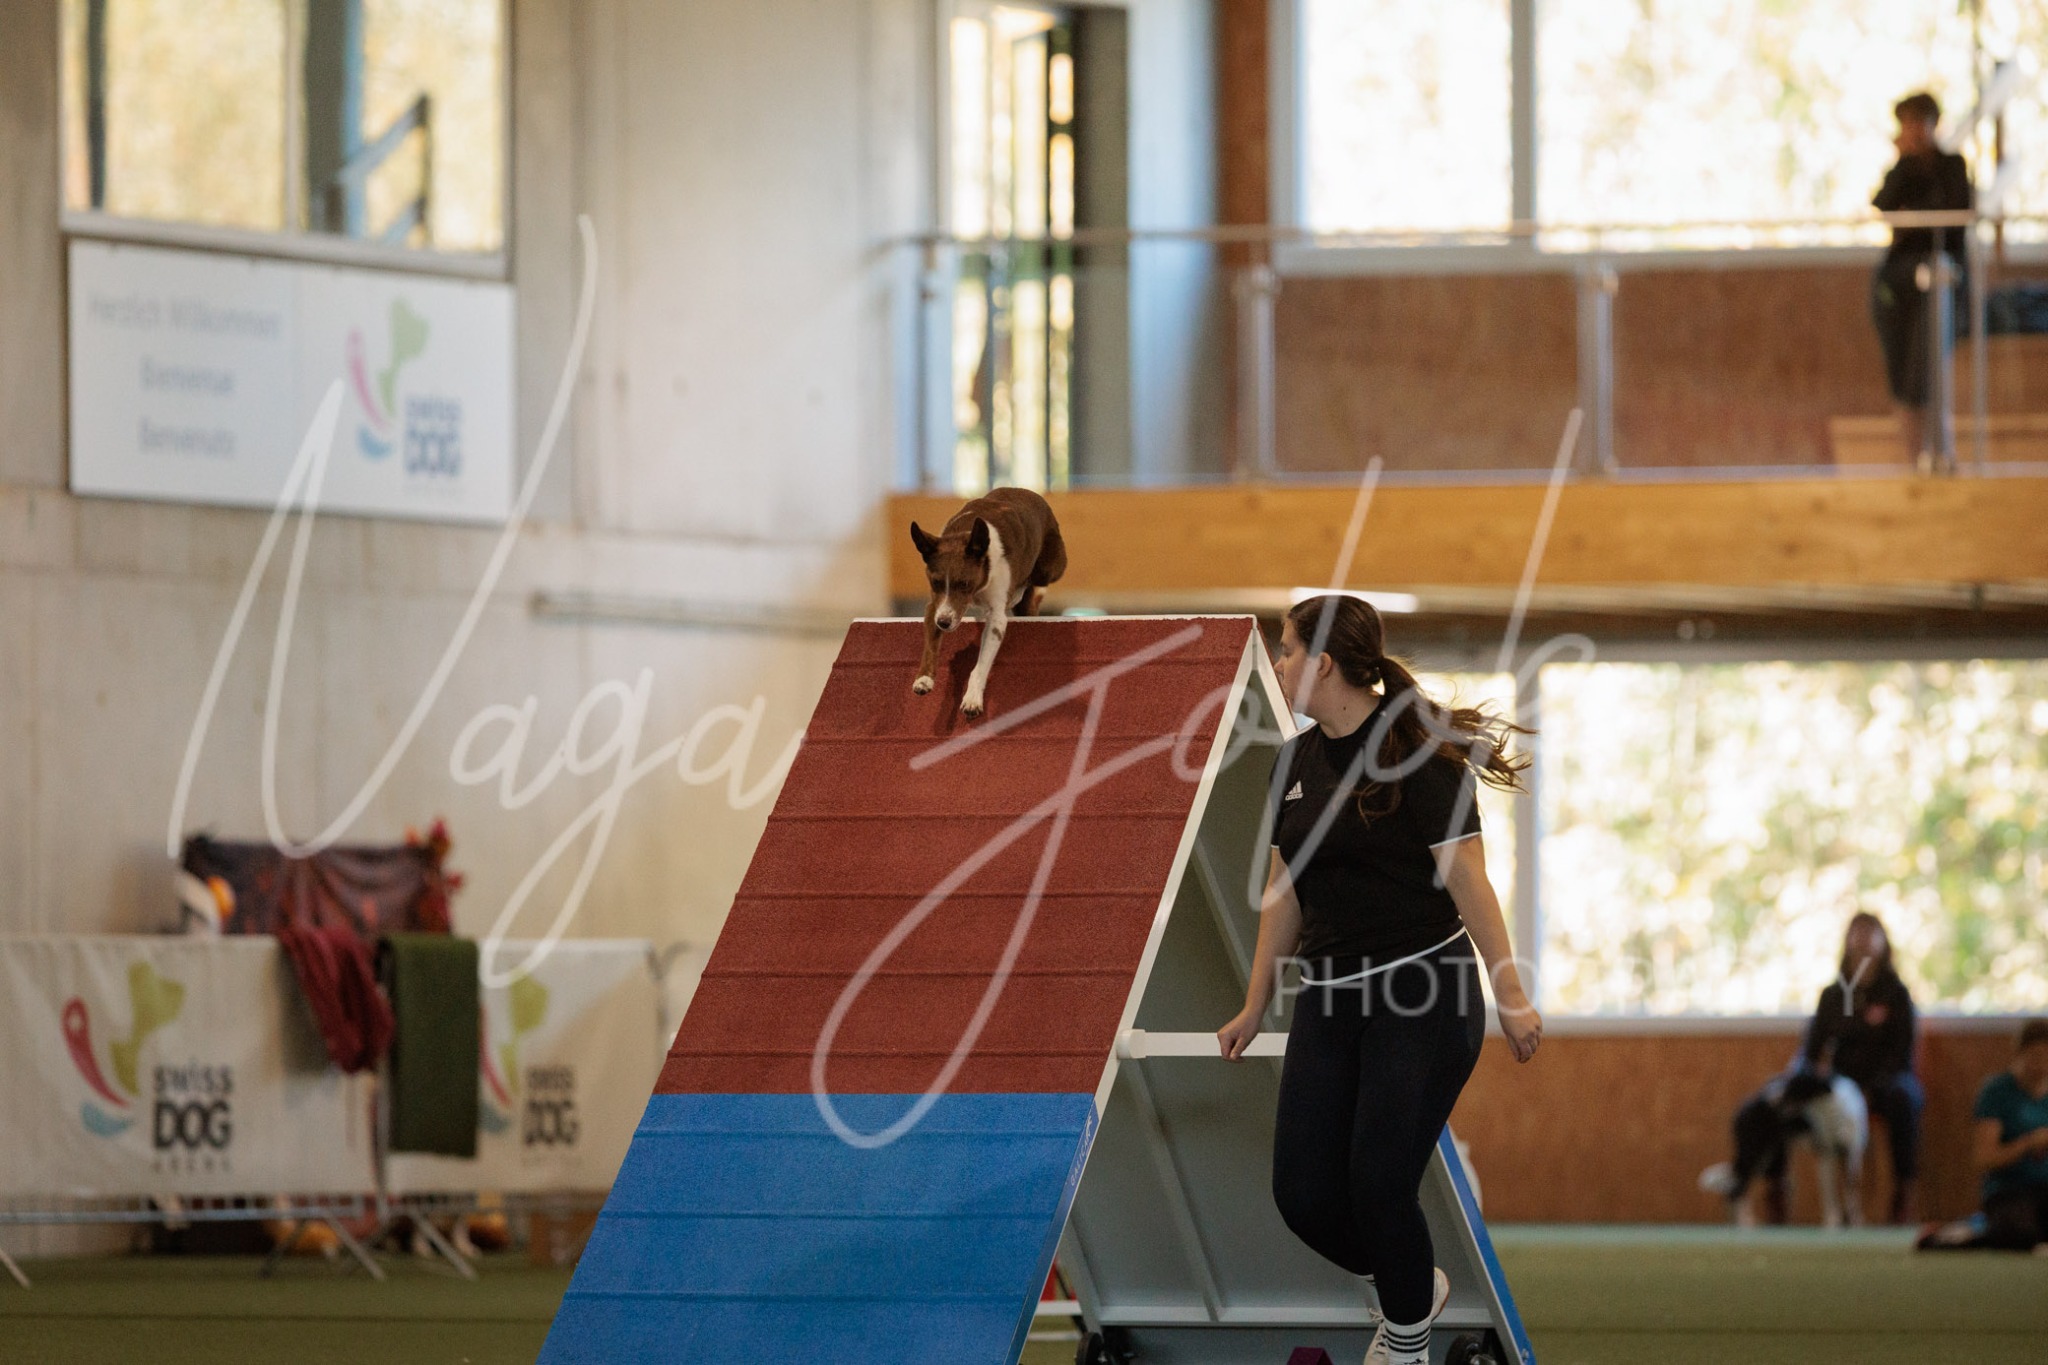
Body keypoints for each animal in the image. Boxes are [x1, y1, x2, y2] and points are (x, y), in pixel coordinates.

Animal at [908, 486, 1066, 718]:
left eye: (964, 583)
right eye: (935, 582)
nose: (944, 623)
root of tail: (1027, 491)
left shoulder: (996, 617)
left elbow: (981, 663)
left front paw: (972, 698)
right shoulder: (936, 605)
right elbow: (931, 644)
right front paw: (924, 679)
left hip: (1048, 567)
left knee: (1035, 581)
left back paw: (1021, 592)